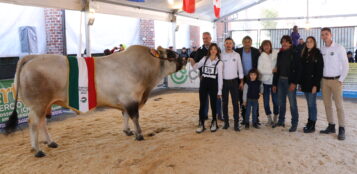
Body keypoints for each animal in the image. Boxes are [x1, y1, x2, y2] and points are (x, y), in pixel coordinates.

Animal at [4, 45, 184, 157]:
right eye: (171, 55)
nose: (185, 57)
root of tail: (32, 57)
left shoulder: (126, 101)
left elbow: (125, 115)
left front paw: (127, 131)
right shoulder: (132, 99)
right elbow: (135, 117)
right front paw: (139, 134)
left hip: (45, 104)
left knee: (42, 122)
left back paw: (50, 142)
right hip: (38, 104)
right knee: (34, 123)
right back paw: (38, 150)